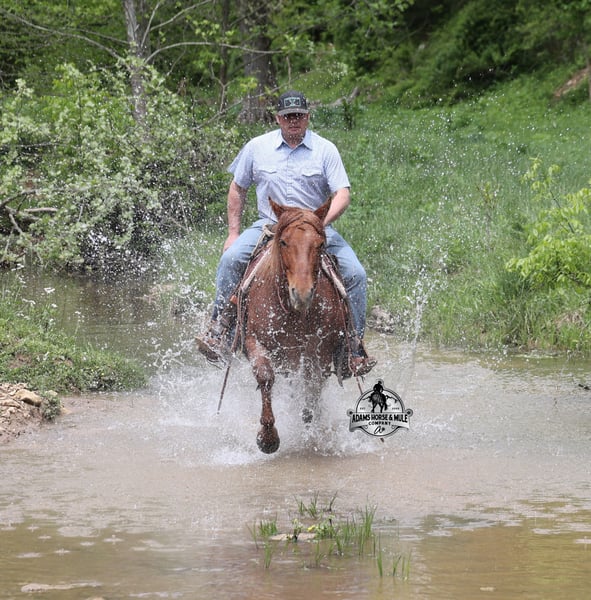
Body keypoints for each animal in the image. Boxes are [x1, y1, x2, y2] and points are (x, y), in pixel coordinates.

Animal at [238, 197, 350, 454]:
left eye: (320, 244)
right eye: (284, 242)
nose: (302, 293)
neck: (294, 313)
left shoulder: (319, 352)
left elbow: (312, 388)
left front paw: (310, 429)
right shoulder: (254, 340)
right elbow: (265, 376)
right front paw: (268, 438)